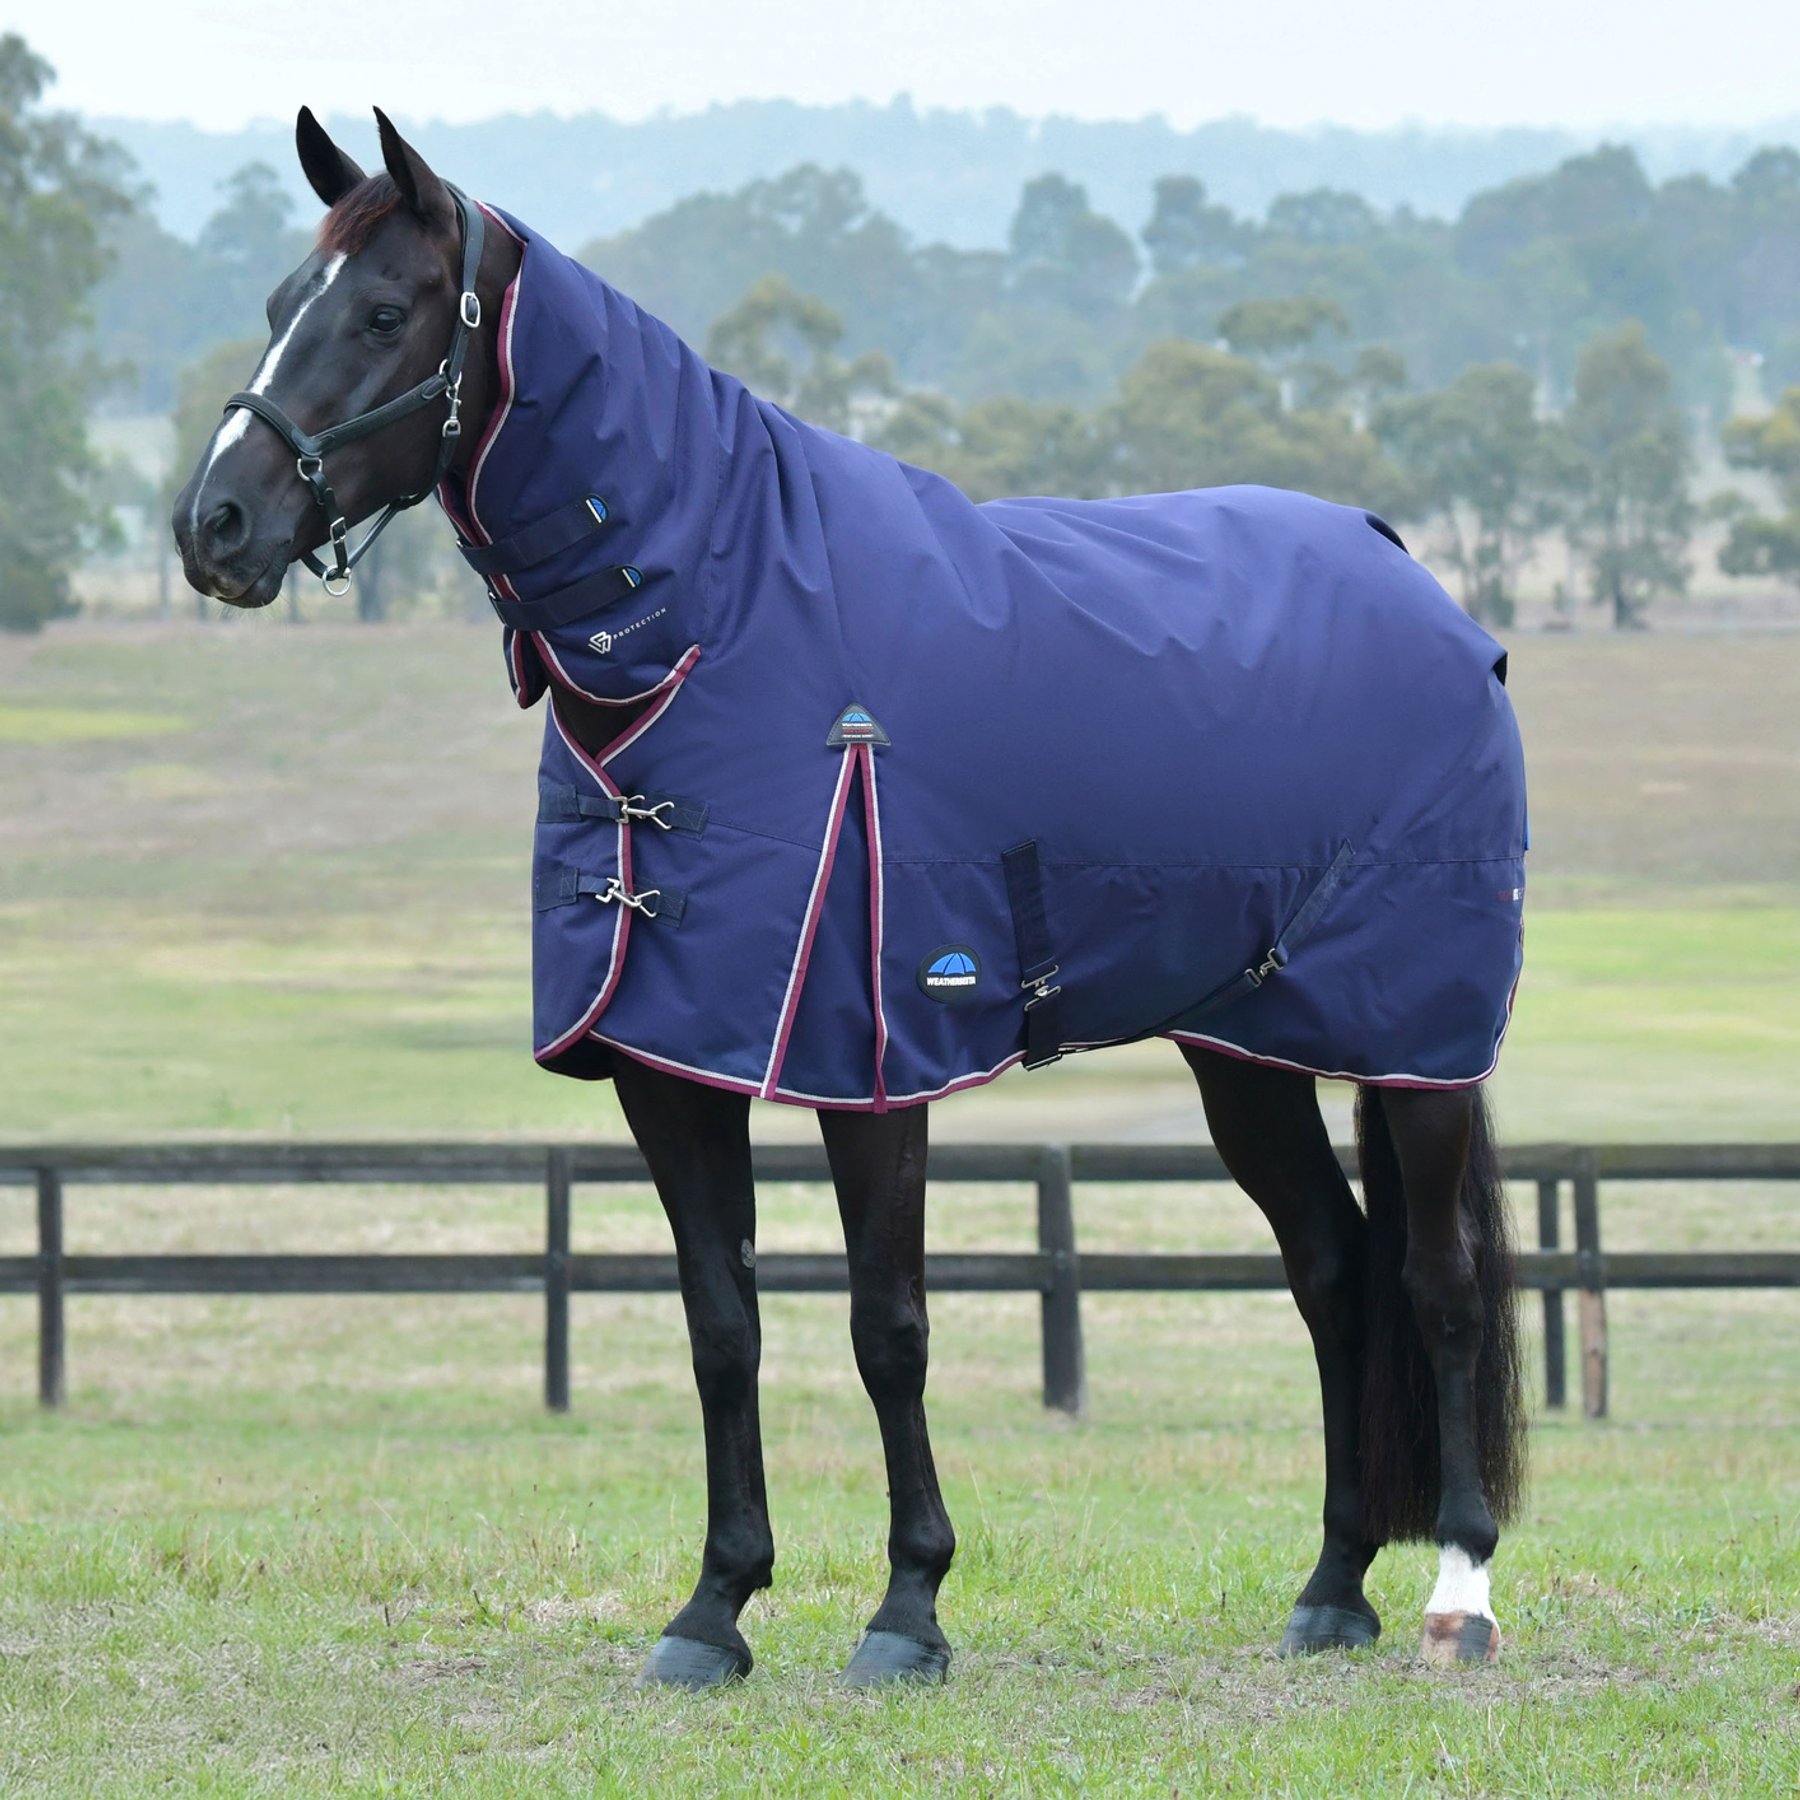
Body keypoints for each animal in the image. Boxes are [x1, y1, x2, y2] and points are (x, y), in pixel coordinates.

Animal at [172, 109, 1527, 1691]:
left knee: (1437, 1280)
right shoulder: (671, 1060)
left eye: (385, 313)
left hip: (1418, 1048)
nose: (215, 523)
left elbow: (890, 1327)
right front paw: (714, 1609)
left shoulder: (873, 1059)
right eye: (282, 303)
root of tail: (1409, 576)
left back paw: (1458, 1592)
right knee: (1332, 1269)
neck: (723, 626)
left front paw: (908, 1608)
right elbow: (722, 1325)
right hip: (1244, 1052)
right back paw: (1330, 1590)